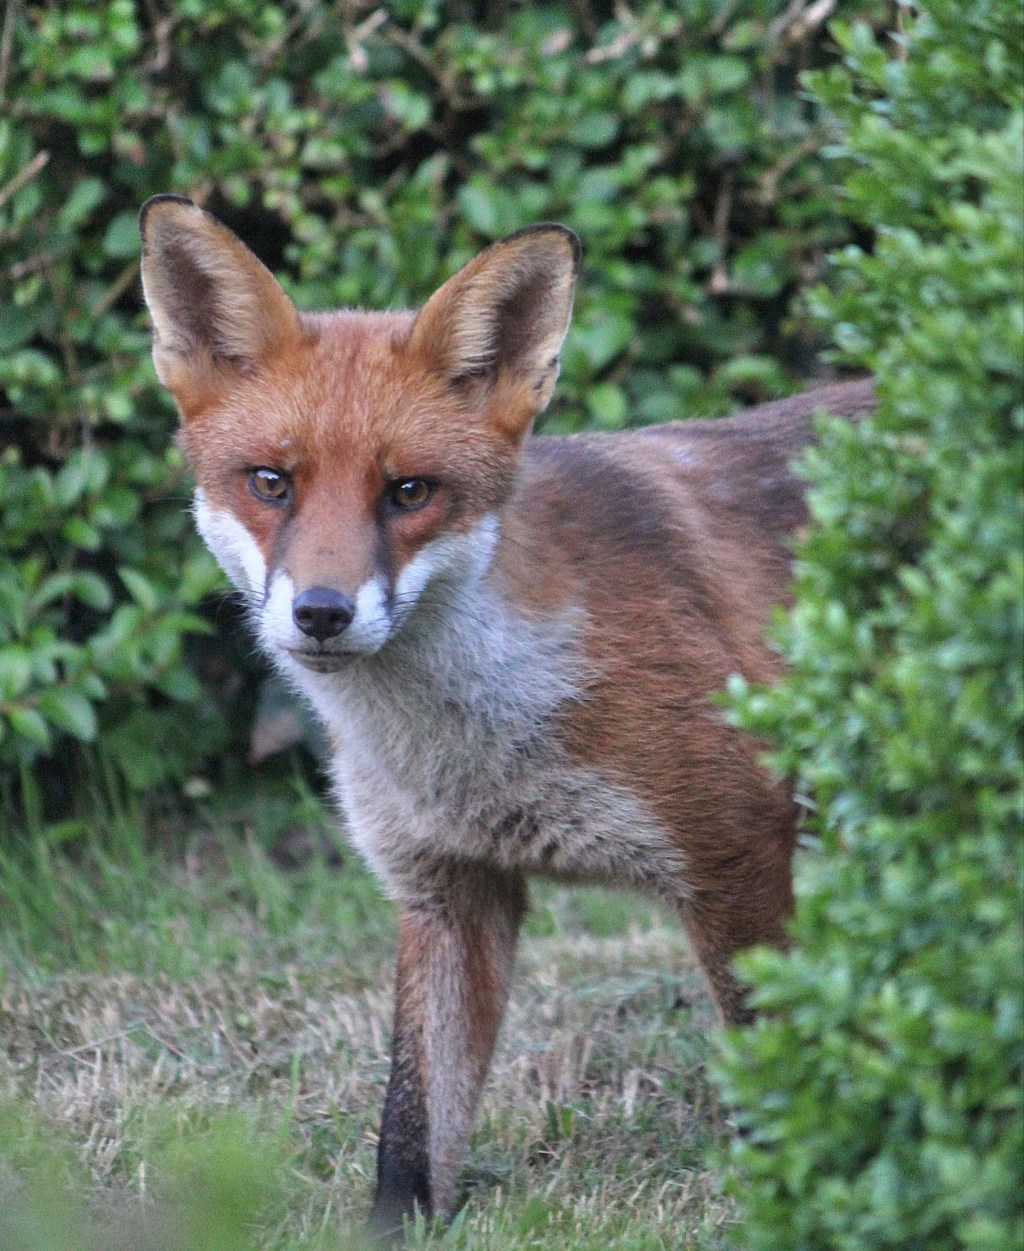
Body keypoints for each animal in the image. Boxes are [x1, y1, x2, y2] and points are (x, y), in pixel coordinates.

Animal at [138, 194, 875, 1237]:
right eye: (271, 481)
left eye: (408, 490)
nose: (321, 612)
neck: (478, 747)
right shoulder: (447, 887)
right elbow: (410, 1133)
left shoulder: (738, 853)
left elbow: (774, 1080)